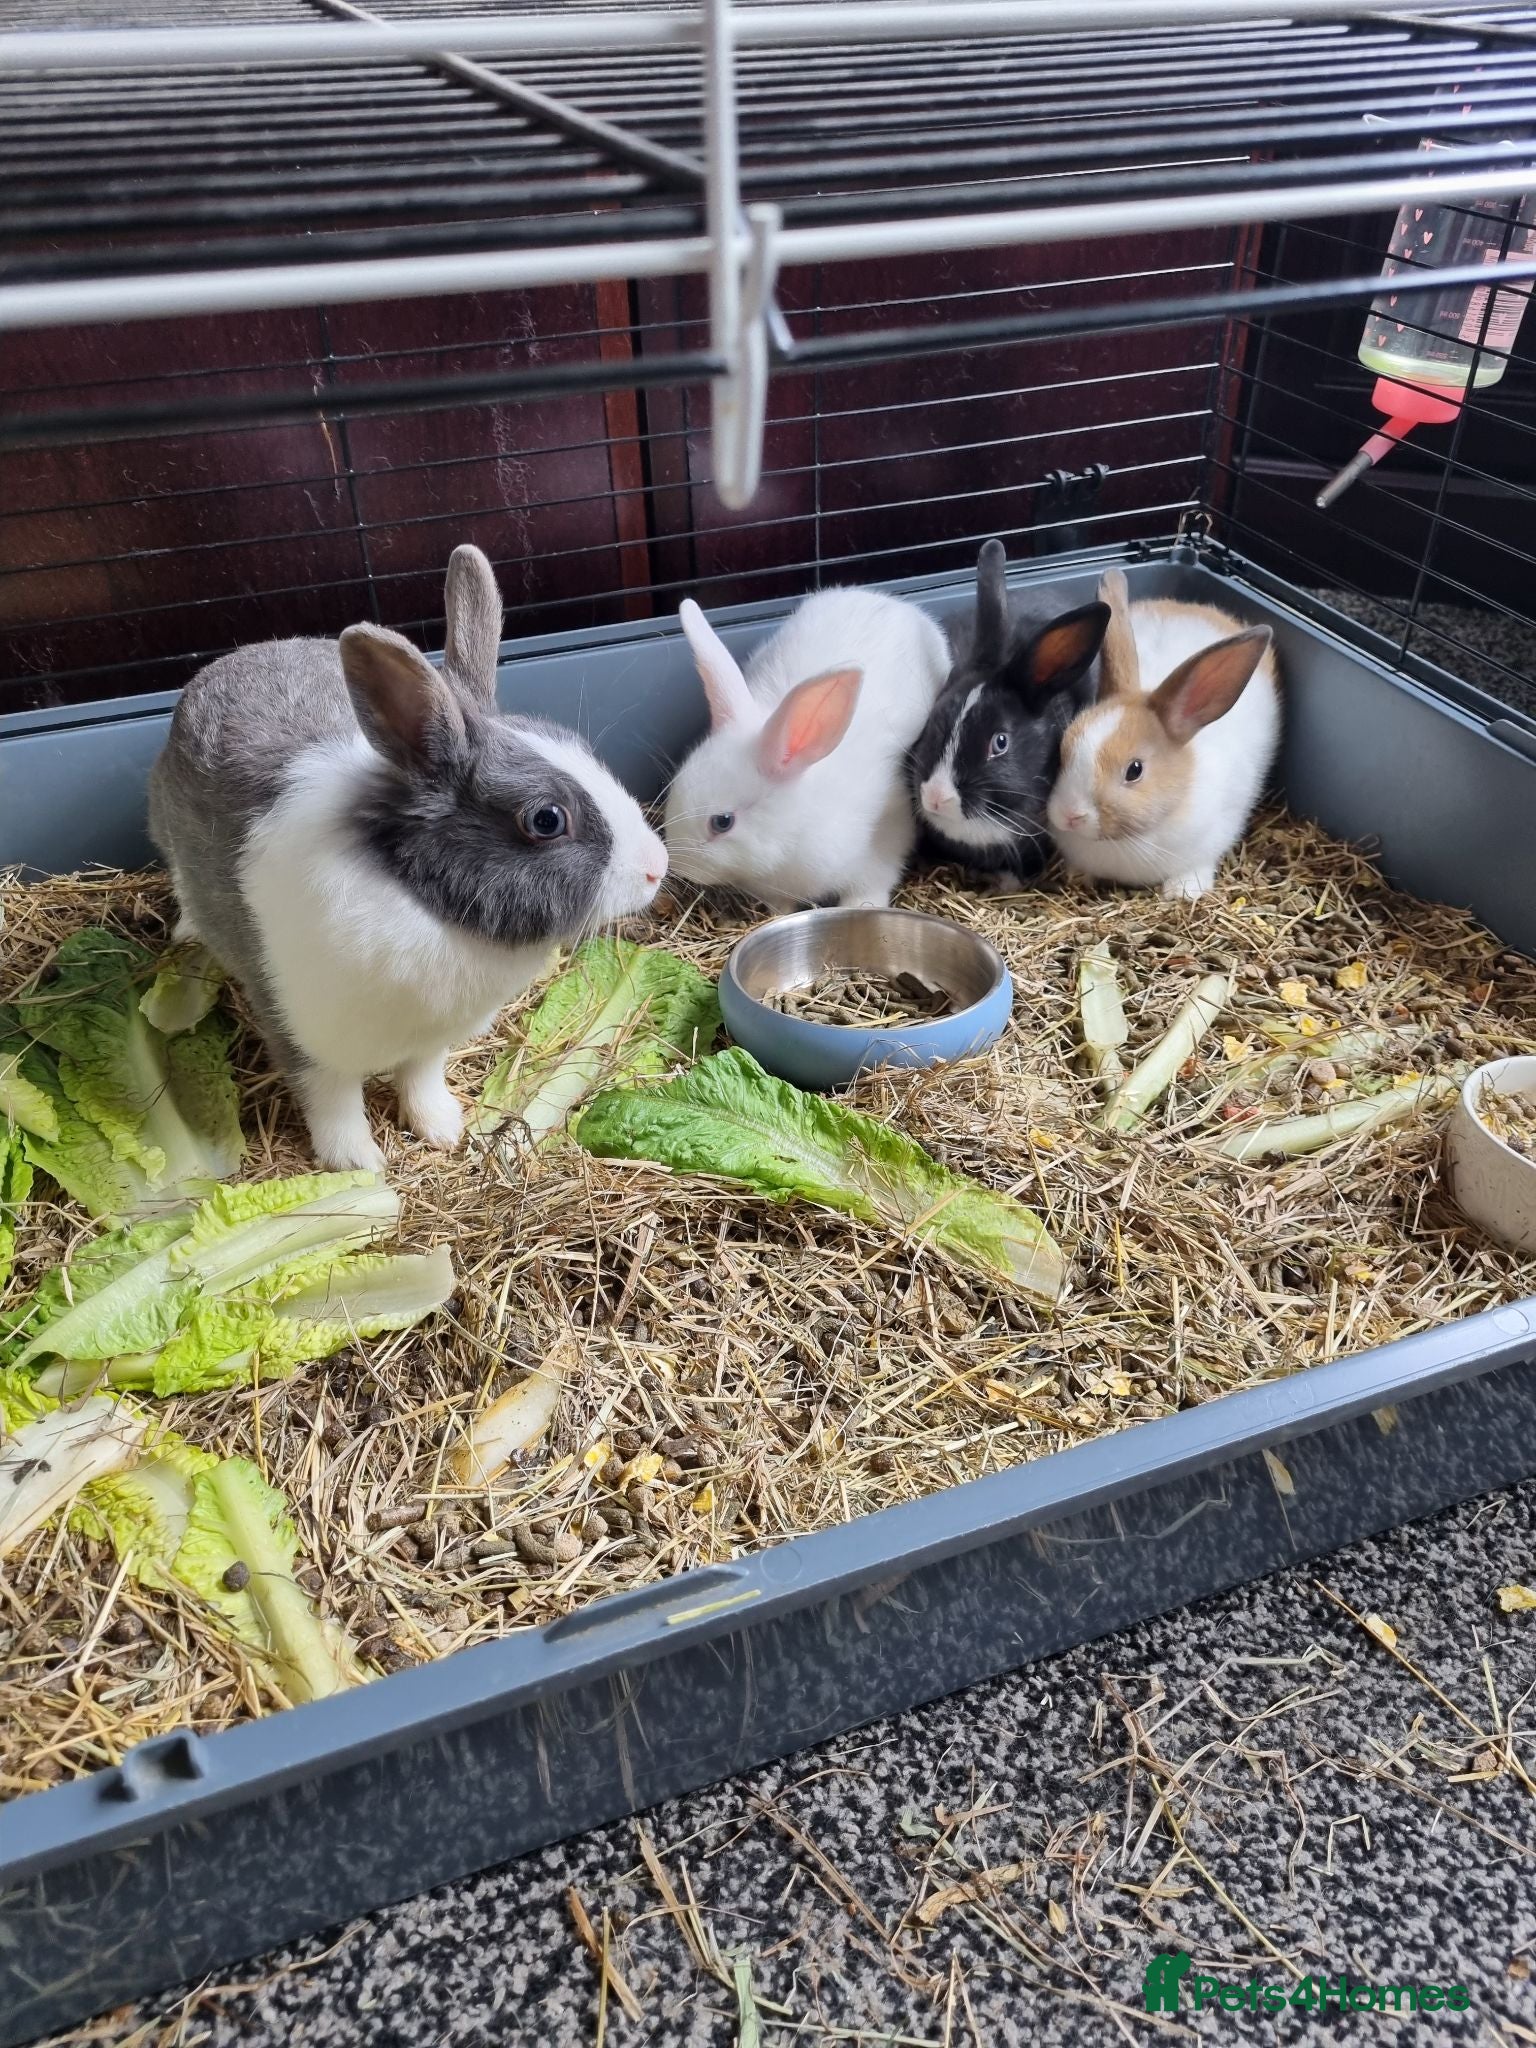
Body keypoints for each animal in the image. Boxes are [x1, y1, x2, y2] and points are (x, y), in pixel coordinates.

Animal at [148, 545, 668, 1172]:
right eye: (546, 820)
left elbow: (420, 1079)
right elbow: (332, 1103)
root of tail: (233, 658)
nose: (657, 867)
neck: (423, 903)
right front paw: (358, 1166)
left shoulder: (429, 1041)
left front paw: (443, 1129)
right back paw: (186, 932)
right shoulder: (304, 1037)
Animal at [662, 585, 951, 910]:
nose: (680, 867)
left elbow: (869, 888)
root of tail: (885, 598)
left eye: (722, 822)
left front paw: (858, 907)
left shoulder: (884, 842)